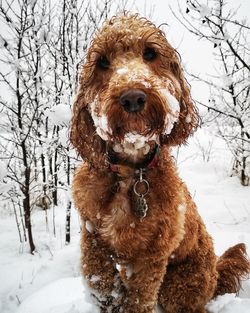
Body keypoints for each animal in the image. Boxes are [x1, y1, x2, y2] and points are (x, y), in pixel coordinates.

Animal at [70, 12, 250, 312]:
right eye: (102, 62)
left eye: (150, 53)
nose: (133, 97)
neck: (131, 171)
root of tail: (216, 273)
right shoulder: (91, 231)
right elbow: (98, 276)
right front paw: (111, 294)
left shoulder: (152, 256)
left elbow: (139, 297)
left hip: (181, 286)